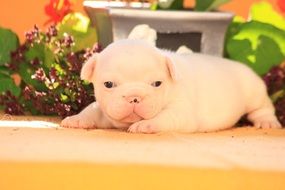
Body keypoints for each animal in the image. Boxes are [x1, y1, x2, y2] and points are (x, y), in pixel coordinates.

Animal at [60, 39, 282, 133]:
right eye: (108, 84)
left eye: (157, 84)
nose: (134, 96)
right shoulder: (105, 109)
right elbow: (92, 110)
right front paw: (76, 119)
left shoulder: (180, 113)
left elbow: (164, 117)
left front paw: (145, 125)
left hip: (254, 93)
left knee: (263, 108)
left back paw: (267, 122)